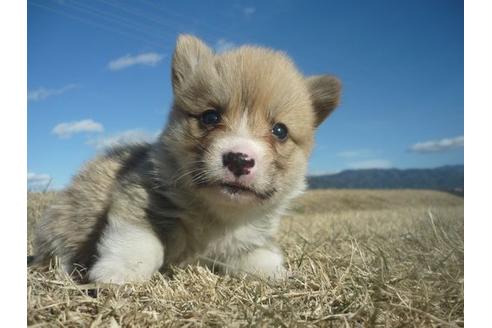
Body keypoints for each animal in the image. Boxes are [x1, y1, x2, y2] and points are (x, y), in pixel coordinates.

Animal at [33, 34, 342, 284]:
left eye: (280, 131)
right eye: (210, 116)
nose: (239, 160)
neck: (216, 215)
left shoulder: (245, 242)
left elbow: (259, 258)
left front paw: (281, 275)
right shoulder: (138, 197)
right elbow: (141, 242)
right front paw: (118, 273)